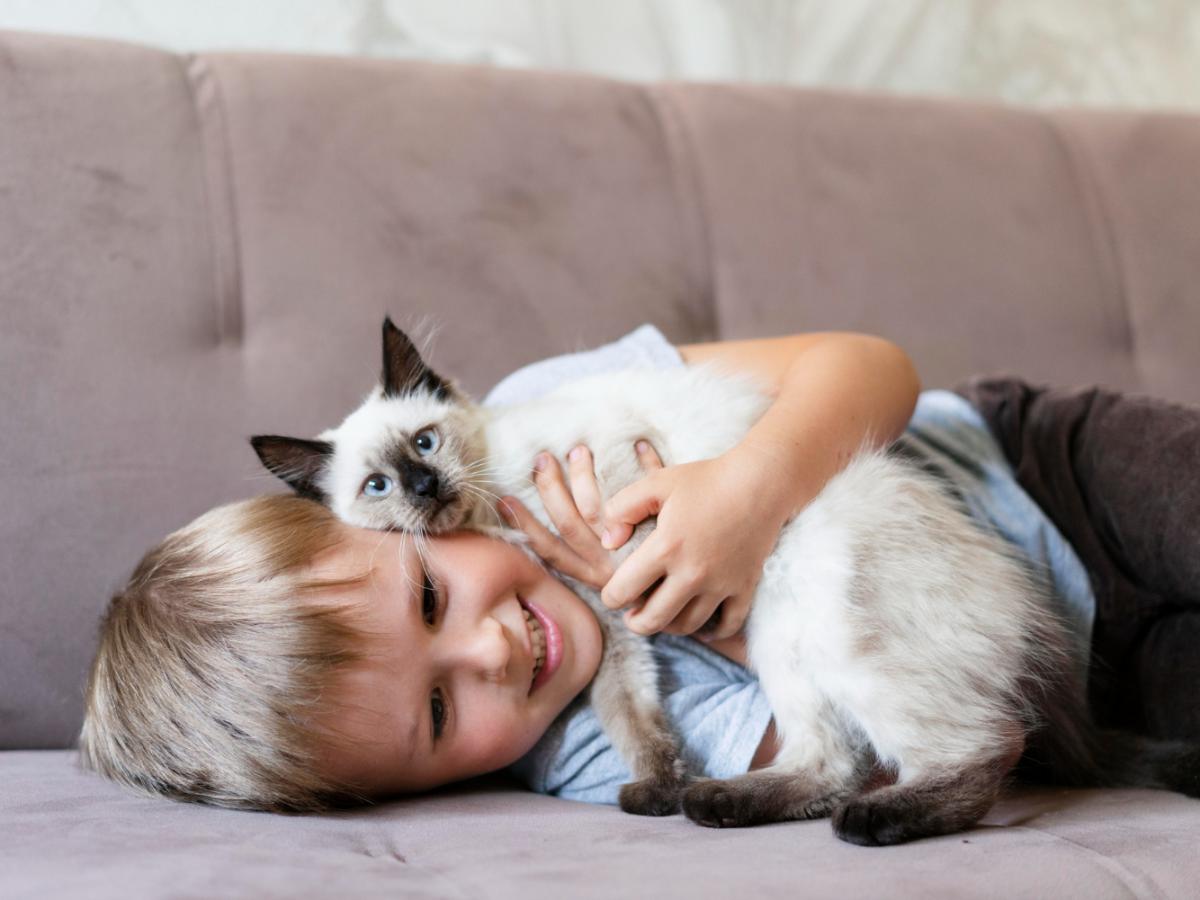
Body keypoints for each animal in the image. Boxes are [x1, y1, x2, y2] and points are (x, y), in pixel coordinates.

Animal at [253, 319, 1200, 844]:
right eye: (377, 487)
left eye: (424, 443)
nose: (424, 490)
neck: (496, 515)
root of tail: (1028, 606)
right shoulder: (613, 619)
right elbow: (637, 717)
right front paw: (659, 792)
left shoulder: (618, 548)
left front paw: (662, 791)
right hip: (790, 647)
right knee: (840, 763)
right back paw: (716, 802)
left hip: (811, 611)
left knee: (982, 747)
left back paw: (872, 827)